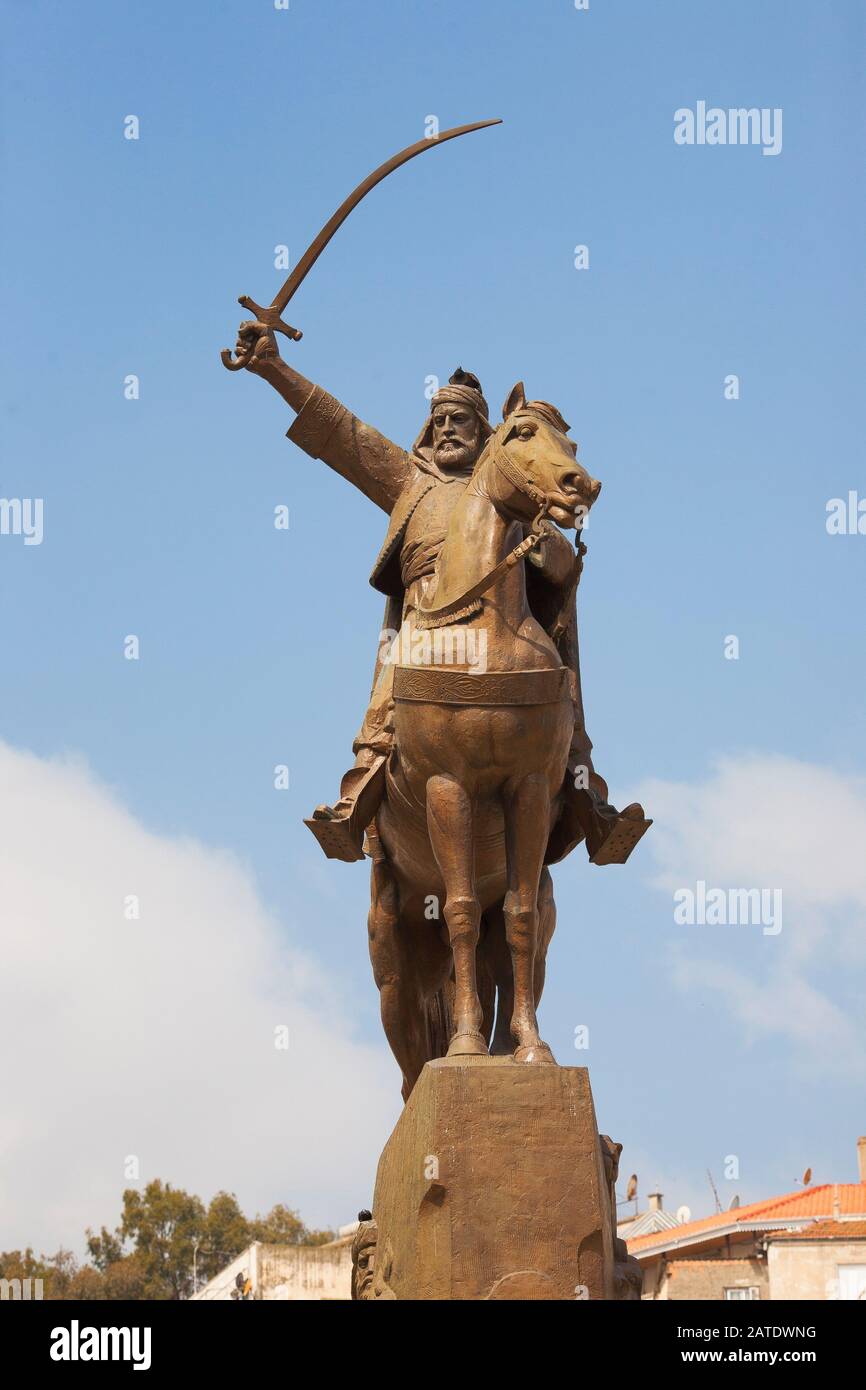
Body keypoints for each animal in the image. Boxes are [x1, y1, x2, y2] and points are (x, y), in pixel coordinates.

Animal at [366, 380, 603, 1095]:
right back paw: (434, 1071)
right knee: (410, 1049)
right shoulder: (451, 787)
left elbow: (516, 916)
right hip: (393, 964)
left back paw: (505, 1045)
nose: (582, 483)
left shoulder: (527, 787)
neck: (484, 632)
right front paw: (465, 1049)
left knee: (510, 955)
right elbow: (462, 909)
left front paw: (531, 1052)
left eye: (570, 442)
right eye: (522, 432)